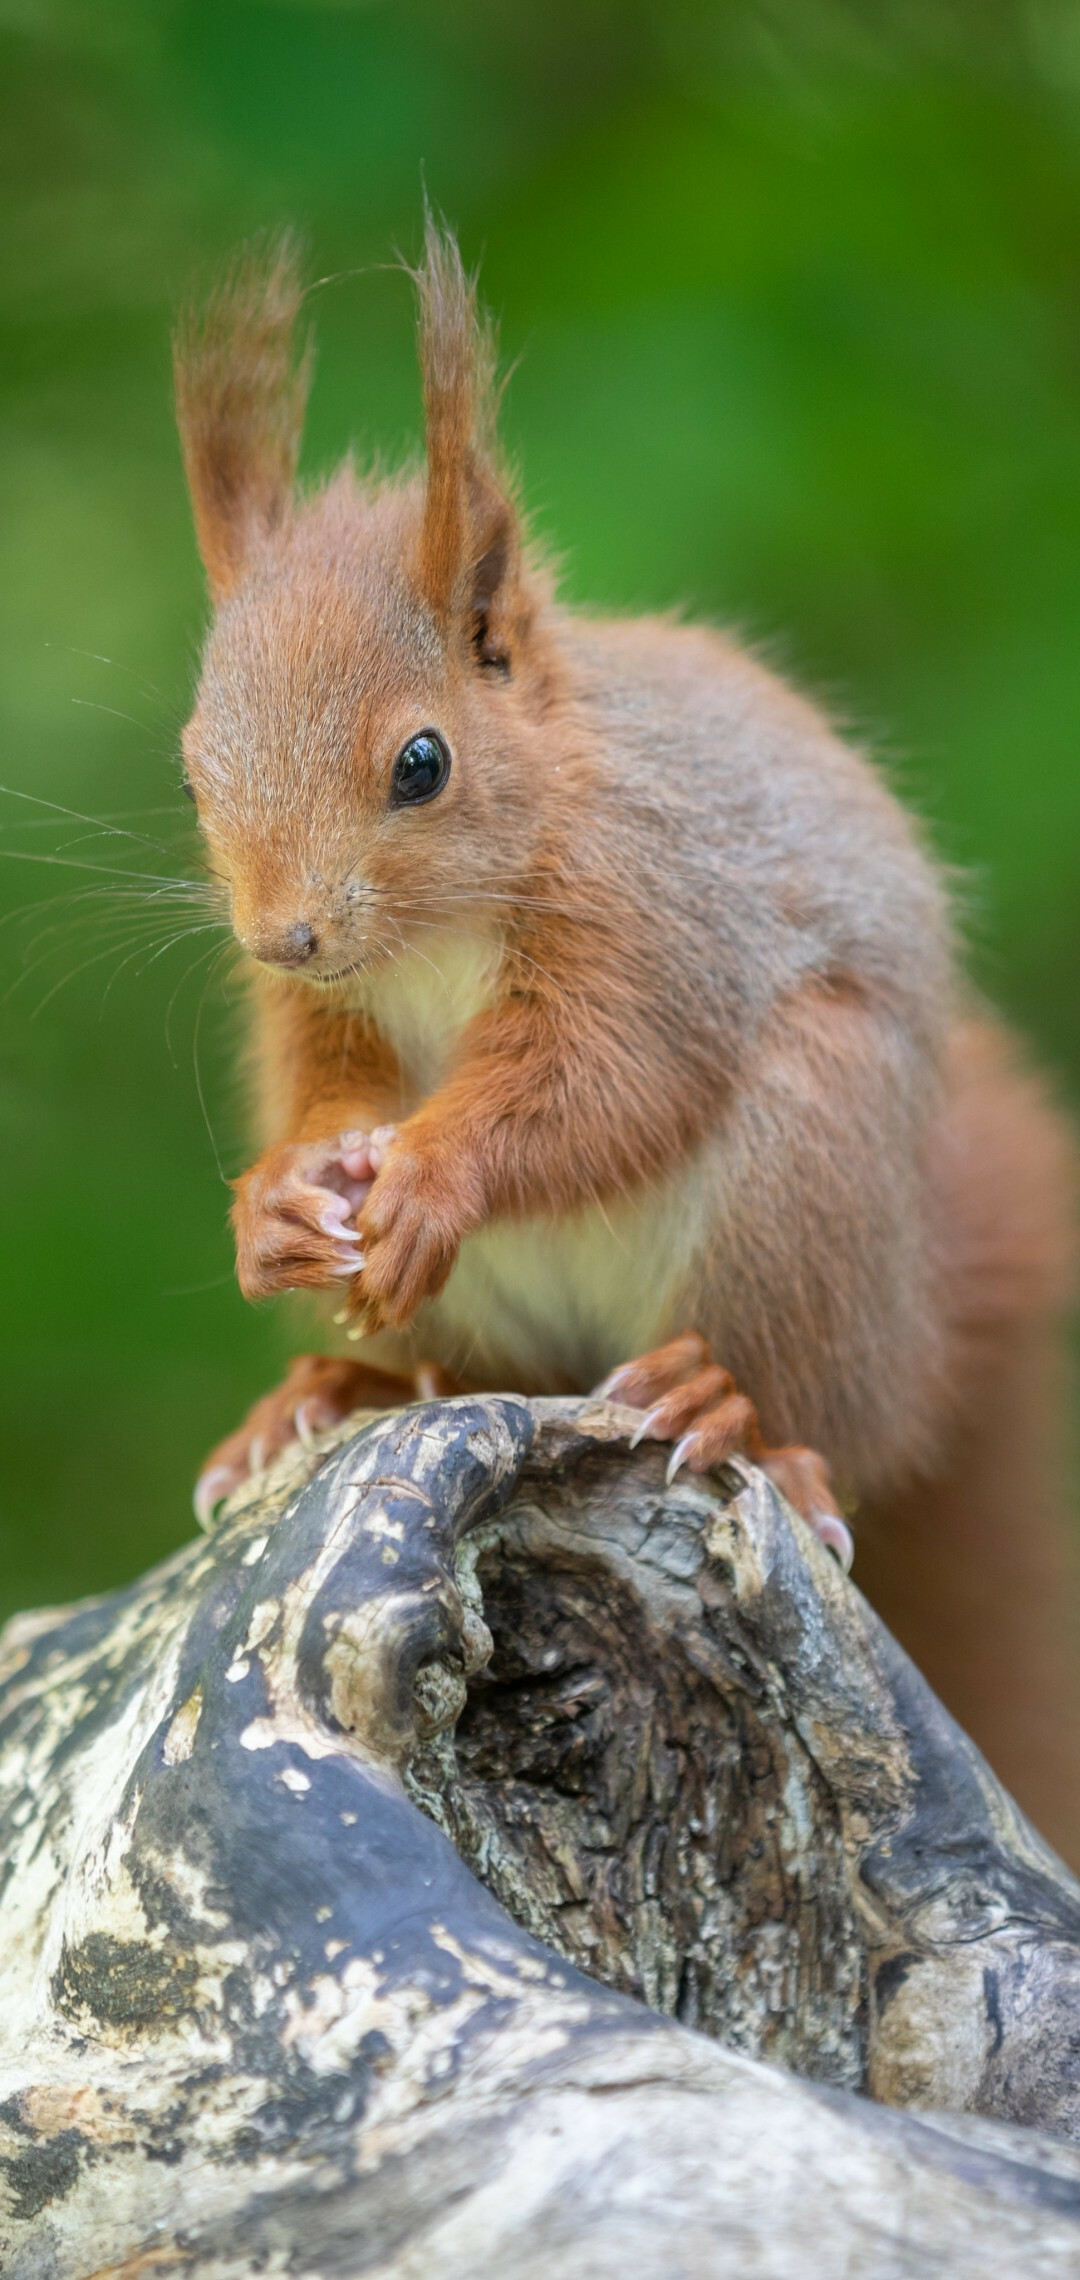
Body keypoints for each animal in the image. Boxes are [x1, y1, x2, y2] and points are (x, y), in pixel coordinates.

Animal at [173, 222, 1075, 1860]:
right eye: (195, 767)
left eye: (421, 762)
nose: (286, 933)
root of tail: (914, 1322)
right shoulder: (320, 1016)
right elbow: (324, 1093)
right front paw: (278, 1201)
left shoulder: (655, 917)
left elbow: (608, 1084)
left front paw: (435, 1178)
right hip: (509, 1331)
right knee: (463, 1372)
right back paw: (332, 1393)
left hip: (817, 1161)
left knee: (814, 1409)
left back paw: (723, 1398)